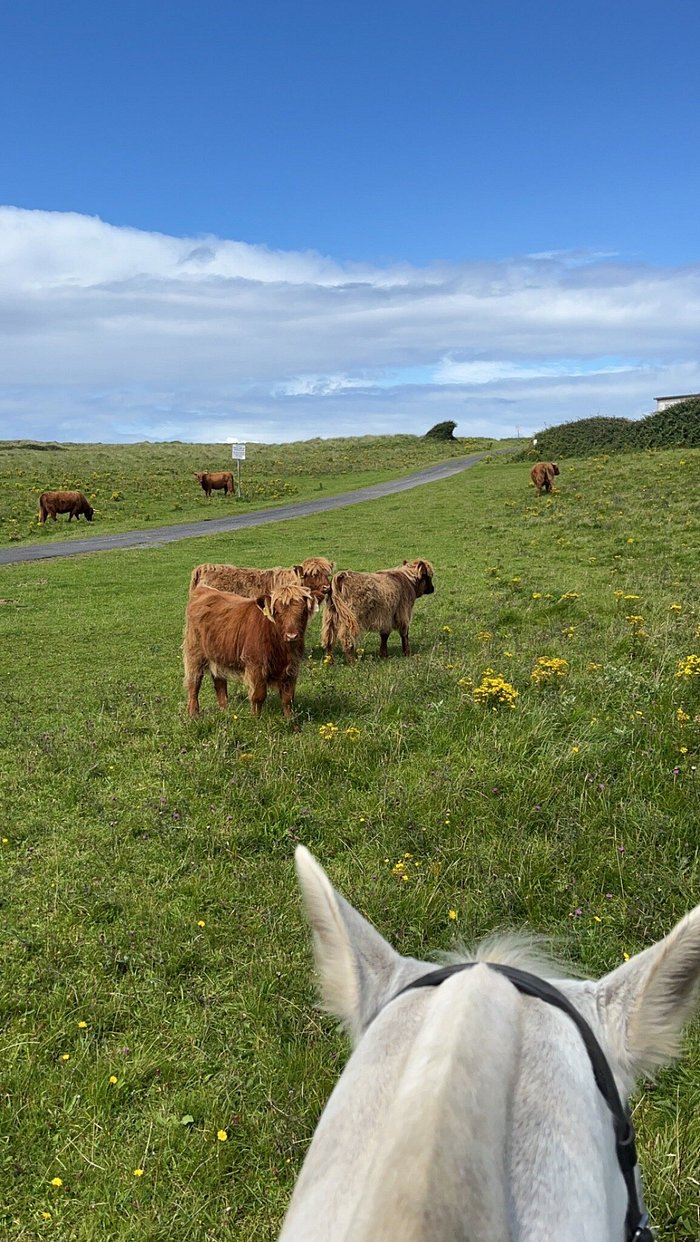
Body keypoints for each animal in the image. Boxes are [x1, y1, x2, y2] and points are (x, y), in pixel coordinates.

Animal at [183, 583, 311, 725]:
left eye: (303, 611)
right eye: (277, 611)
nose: (292, 636)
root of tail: (204, 588)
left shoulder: (292, 668)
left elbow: (288, 698)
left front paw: (291, 723)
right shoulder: (255, 666)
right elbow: (258, 696)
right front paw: (256, 721)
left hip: (218, 654)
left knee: (219, 682)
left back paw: (225, 711)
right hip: (195, 653)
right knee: (194, 683)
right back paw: (193, 715)